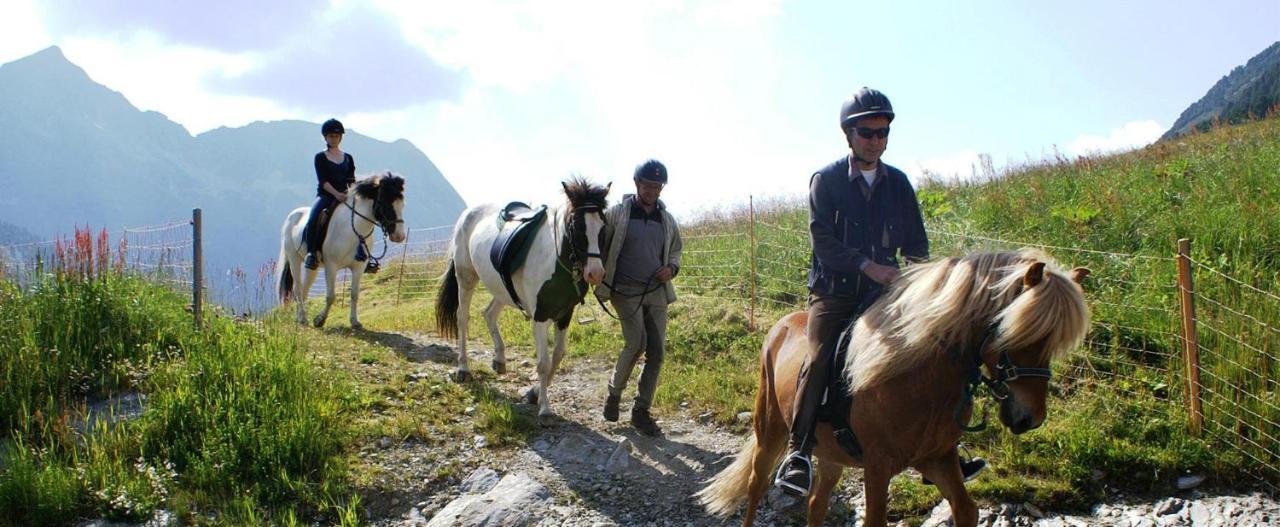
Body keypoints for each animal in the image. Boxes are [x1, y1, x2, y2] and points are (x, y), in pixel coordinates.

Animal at [276, 172, 404, 330]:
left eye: (402, 204)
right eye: (385, 203)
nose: (399, 236)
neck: (354, 231)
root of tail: (293, 215)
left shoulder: (358, 267)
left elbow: (355, 294)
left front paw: (355, 321)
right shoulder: (331, 266)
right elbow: (331, 296)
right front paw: (319, 320)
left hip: (312, 267)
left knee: (305, 289)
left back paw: (300, 317)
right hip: (294, 259)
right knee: (298, 289)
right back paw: (303, 319)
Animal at [435, 179, 609, 422]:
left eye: (603, 225)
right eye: (576, 226)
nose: (595, 273)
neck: (555, 259)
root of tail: (469, 213)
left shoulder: (565, 314)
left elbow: (557, 355)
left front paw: (534, 394)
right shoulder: (540, 316)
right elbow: (543, 363)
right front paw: (545, 409)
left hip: (501, 289)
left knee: (489, 313)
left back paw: (499, 359)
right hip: (466, 277)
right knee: (463, 318)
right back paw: (463, 369)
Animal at [701, 250, 1090, 527]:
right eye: (1016, 332)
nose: (1030, 418)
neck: (920, 378)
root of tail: (782, 325)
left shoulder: (937, 457)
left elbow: (966, 510)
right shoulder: (878, 465)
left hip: (830, 454)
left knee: (816, 503)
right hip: (770, 431)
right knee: (755, 487)